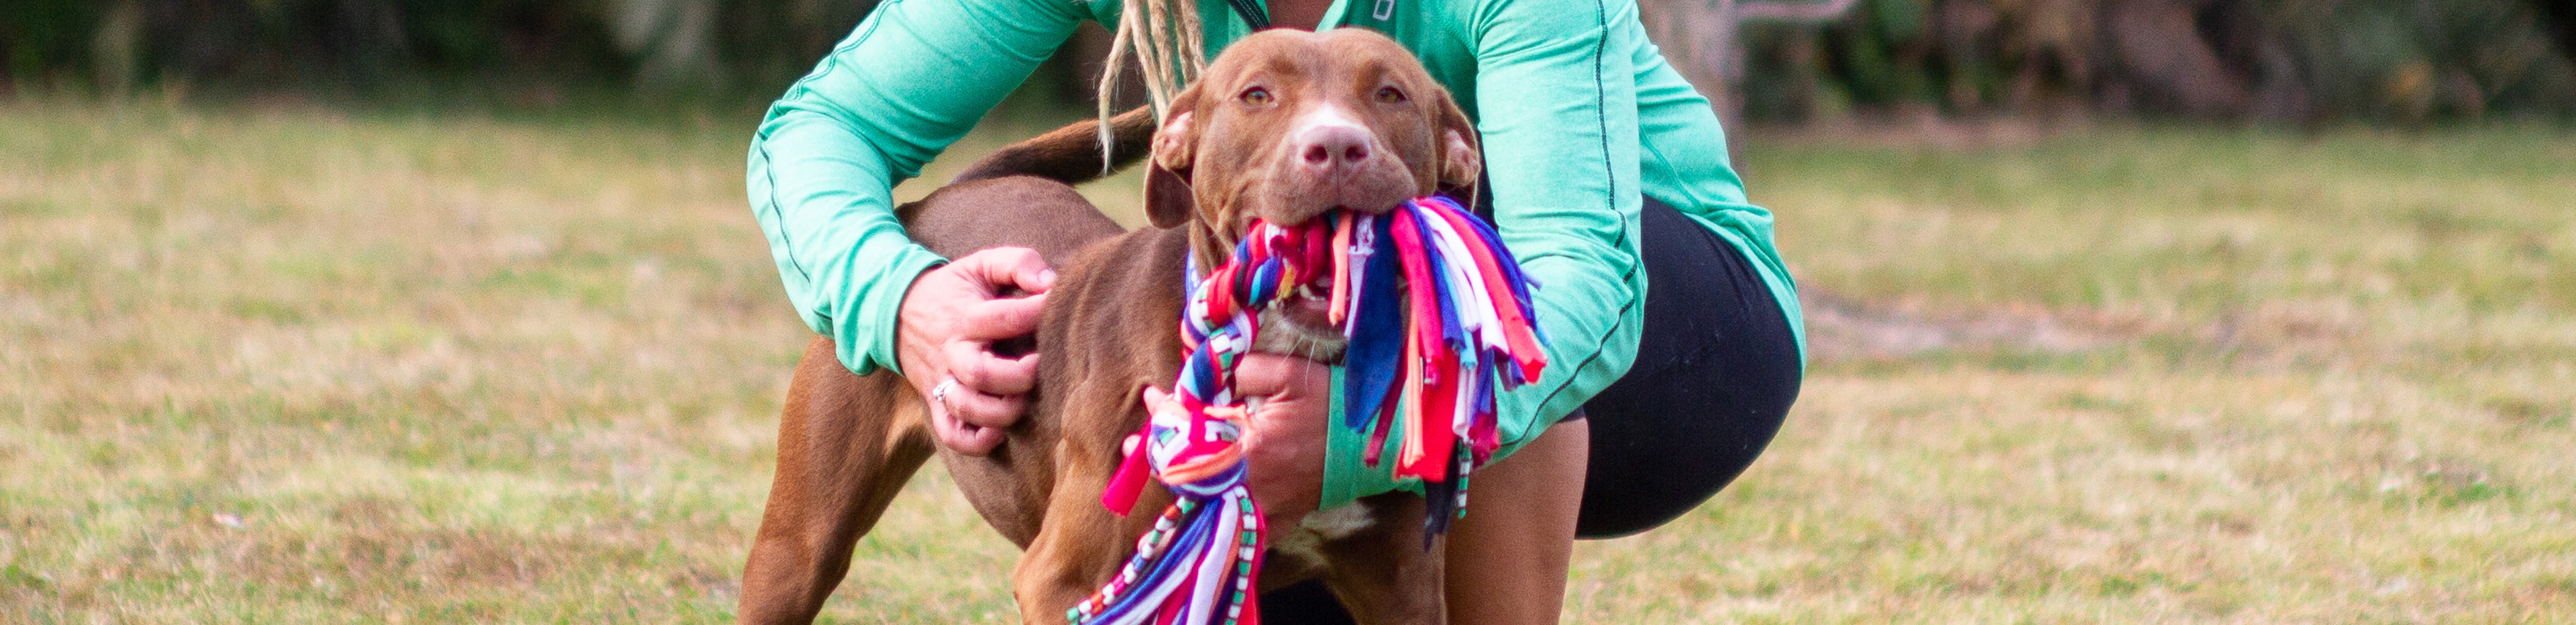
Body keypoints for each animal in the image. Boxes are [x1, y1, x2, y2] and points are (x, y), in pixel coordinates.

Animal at [737, 30, 1483, 625]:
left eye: (1390, 95)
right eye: (1257, 95)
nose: (1335, 145)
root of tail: (944, 195)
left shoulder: (1401, 589)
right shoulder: (1068, 582)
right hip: (798, 547)